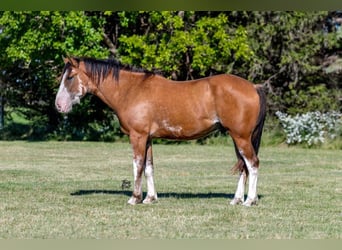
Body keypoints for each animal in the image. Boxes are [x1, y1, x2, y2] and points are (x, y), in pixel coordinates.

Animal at [54, 57, 266, 207]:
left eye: (70, 77)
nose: (58, 105)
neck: (131, 90)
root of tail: (254, 86)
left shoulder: (137, 136)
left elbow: (137, 166)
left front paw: (135, 198)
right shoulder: (148, 138)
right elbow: (149, 167)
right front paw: (150, 198)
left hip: (241, 137)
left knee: (253, 164)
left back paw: (249, 201)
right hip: (237, 138)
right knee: (244, 167)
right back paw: (237, 199)